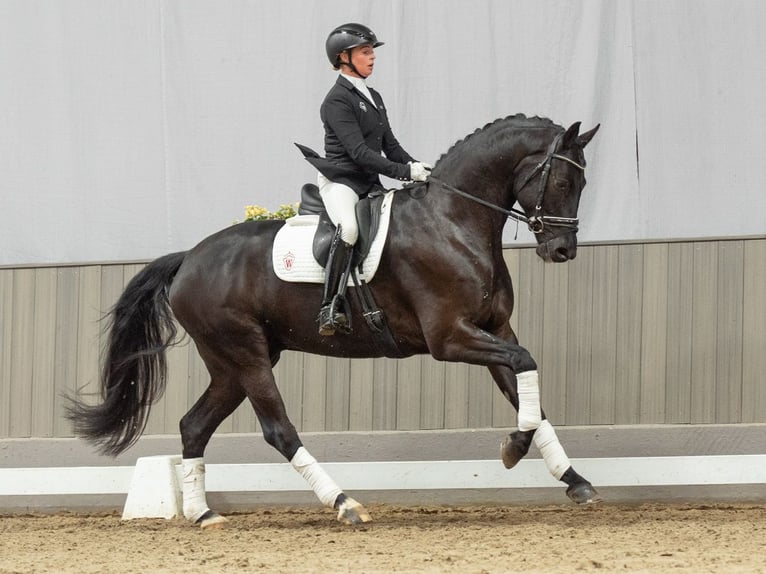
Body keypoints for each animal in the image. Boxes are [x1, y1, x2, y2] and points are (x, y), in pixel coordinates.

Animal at [67, 114, 601, 529]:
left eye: (583, 184)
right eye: (560, 182)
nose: (562, 251)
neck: (452, 222)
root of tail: (188, 259)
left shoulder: (494, 329)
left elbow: (529, 391)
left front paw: (574, 480)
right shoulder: (450, 337)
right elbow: (525, 365)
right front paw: (514, 448)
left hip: (231, 363)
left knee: (194, 425)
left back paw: (203, 513)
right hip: (245, 353)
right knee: (278, 430)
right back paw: (345, 504)